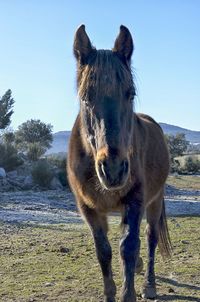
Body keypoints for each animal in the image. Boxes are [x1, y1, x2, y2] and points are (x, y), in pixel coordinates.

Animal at [67, 24, 172, 302]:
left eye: (130, 93)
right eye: (85, 97)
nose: (113, 169)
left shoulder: (135, 201)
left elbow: (129, 246)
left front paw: (129, 293)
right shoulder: (88, 209)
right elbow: (103, 250)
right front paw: (110, 293)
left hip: (154, 200)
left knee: (150, 238)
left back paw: (149, 285)